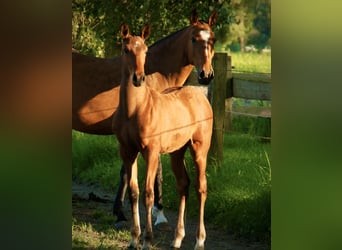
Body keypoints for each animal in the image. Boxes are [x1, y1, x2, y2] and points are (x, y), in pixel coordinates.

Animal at [73, 9, 216, 225]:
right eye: (194, 38)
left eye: (213, 39)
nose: (206, 75)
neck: (154, 72)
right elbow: (154, 173)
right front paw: (158, 212)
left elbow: (126, 172)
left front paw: (120, 211)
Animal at [113, 23, 212, 250]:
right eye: (126, 50)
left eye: (145, 51)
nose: (138, 78)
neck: (135, 109)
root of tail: (200, 96)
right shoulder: (127, 152)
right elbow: (134, 192)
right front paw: (134, 239)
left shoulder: (151, 152)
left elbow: (148, 194)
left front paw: (148, 241)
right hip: (177, 152)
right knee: (183, 184)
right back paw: (177, 238)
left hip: (199, 149)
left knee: (201, 188)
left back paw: (200, 240)